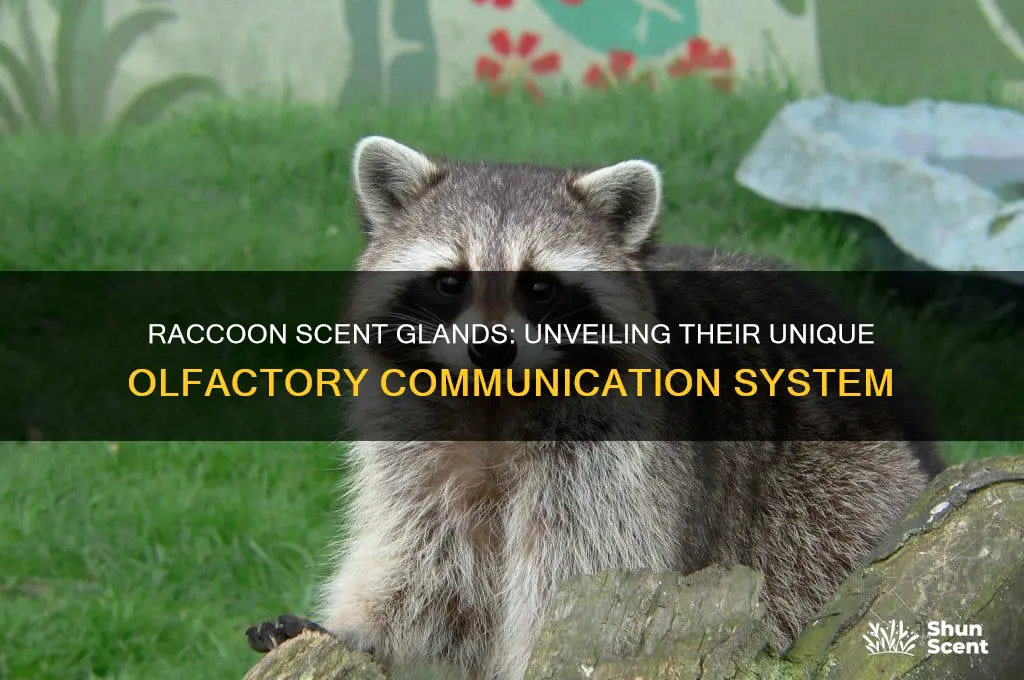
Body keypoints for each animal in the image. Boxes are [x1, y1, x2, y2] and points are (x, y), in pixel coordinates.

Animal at [245, 136, 945, 680]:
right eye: (450, 281)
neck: (497, 404)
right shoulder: (419, 450)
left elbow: (580, 570)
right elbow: (428, 568)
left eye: (540, 286)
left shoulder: (613, 458)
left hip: (831, 487)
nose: (491, 347)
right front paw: (359, 630)